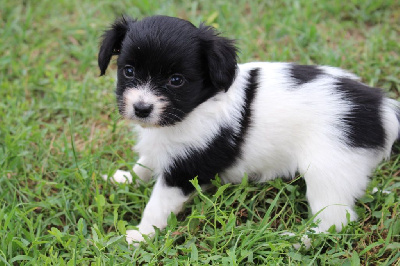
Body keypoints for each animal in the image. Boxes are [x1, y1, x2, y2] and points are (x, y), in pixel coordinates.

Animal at [97, 15, 400, 245]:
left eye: (176, 80)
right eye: (128, 71)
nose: (142, 108)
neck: (197, 106)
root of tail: (382, 106)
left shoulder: (185, 170)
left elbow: (157, 204)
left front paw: (141, 235)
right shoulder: (164, 148)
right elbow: (145, 164)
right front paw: (124, 178)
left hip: (328, 171)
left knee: (335, 222)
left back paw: (296, 239)